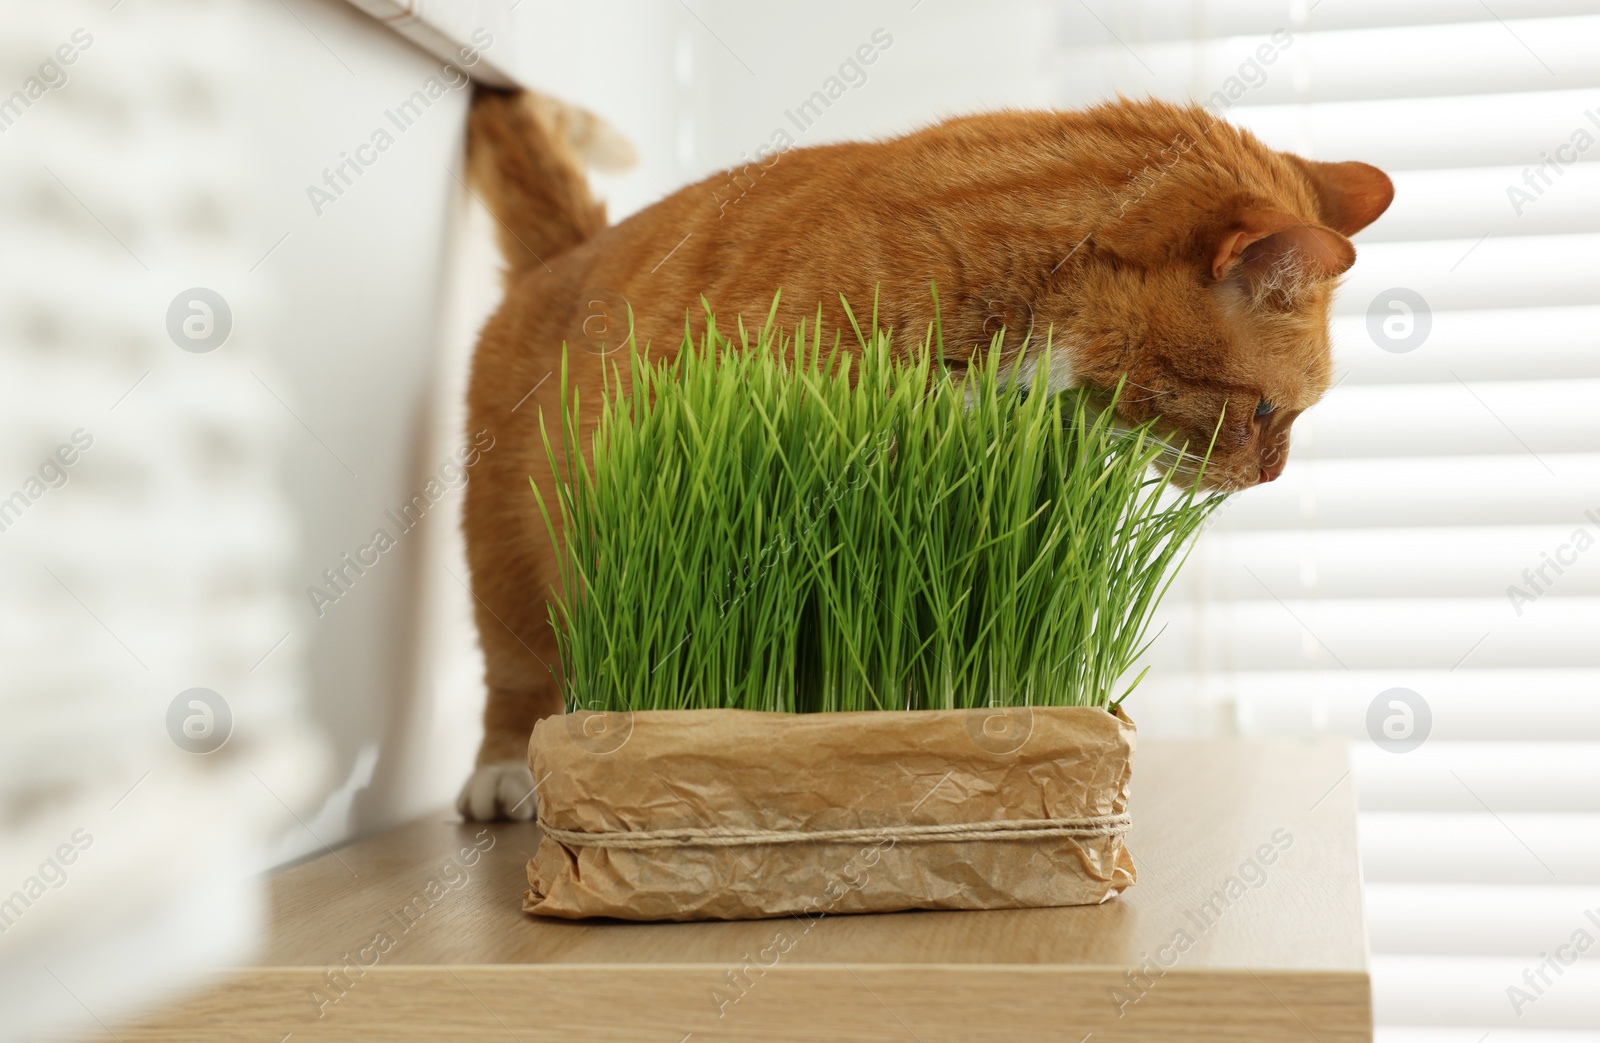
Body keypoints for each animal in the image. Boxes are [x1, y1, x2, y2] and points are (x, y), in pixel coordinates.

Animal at [451, 89, 1388, 819]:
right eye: (1264, 409)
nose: (1272, 473)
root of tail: (568, 252)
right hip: (505, 548)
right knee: (514, 670)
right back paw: (500, 779)